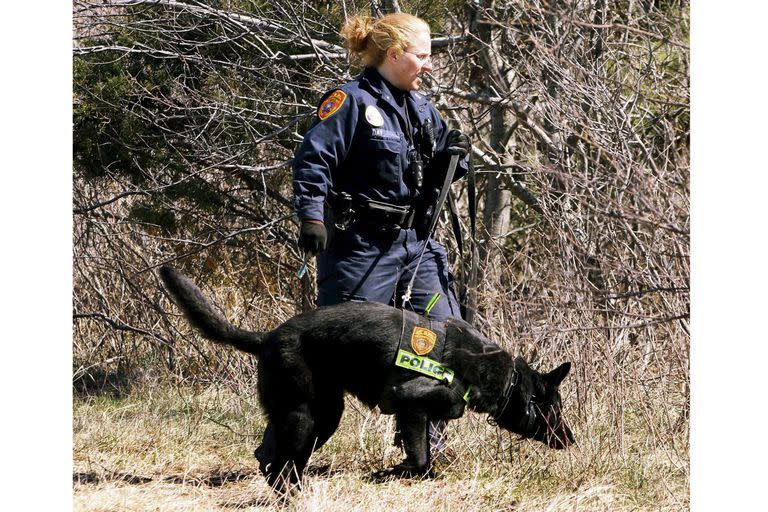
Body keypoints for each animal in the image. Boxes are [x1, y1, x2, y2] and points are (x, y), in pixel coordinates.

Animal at [159, 266, 572, 490]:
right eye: (556, 409)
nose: (571, 440)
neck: (505, 380)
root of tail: (267, 338)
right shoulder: (412, 402)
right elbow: (419, 460)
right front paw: (393, 472)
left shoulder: (413, 416)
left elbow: (420, 456)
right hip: (305, 414)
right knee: (281, 468)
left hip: (324, 414)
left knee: (282, 460)